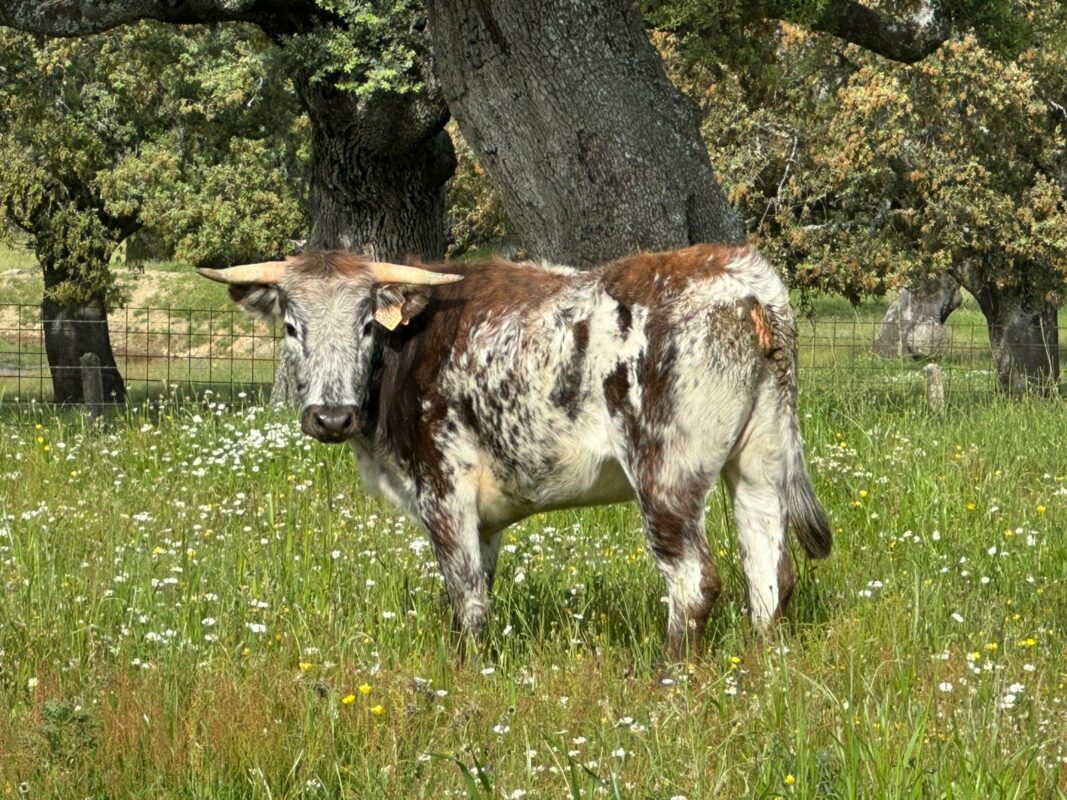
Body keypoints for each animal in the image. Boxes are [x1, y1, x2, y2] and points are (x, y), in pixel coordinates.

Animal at [200, 246, 832, 665]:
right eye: (291, 326)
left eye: (364, 326)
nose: (331, 417)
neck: (406, 349)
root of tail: (745, 280)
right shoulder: (486, 518)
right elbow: (478, 584)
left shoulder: (443, 489)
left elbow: (466, 597)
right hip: (759, 464)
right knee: (769, 572)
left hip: (666, 474)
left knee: (694, 580)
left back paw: (667, 676)